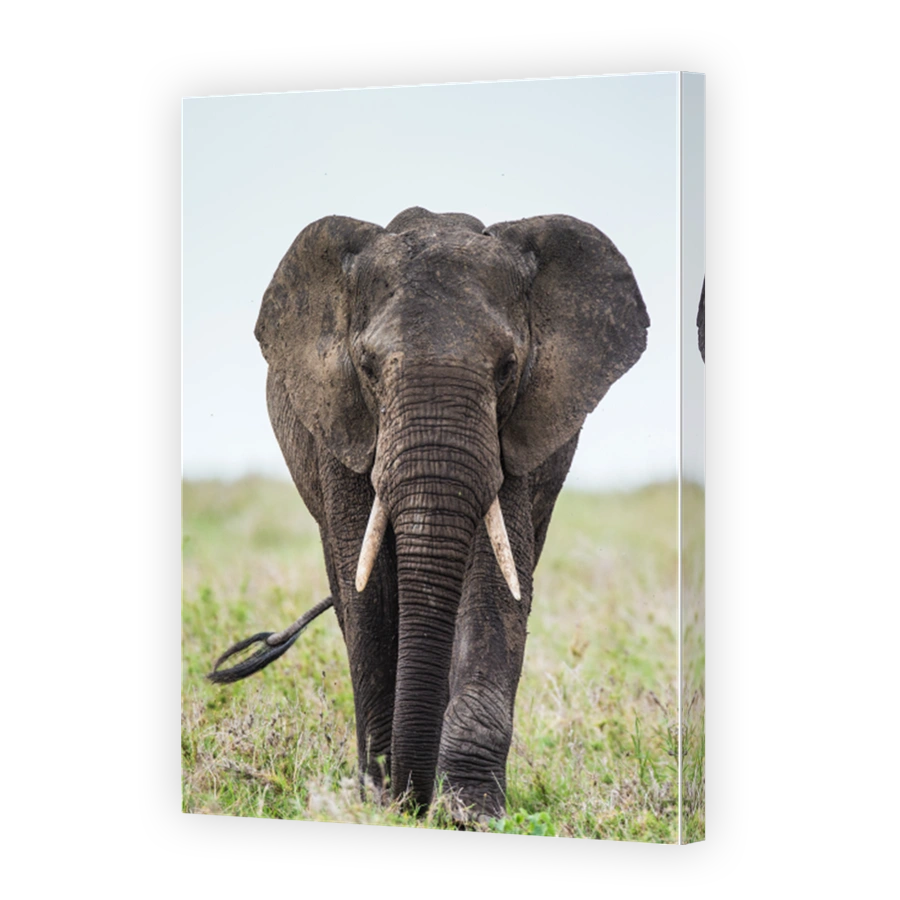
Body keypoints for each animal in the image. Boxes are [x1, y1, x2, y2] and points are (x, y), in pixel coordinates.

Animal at [209, 206, 650, 822]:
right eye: (368, 367)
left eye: (507, 368)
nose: (410, 798)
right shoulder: (343, 427)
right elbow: (366, 589)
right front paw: (381, 799)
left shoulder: (514, 432)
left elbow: (496, 584)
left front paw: (470, 811)